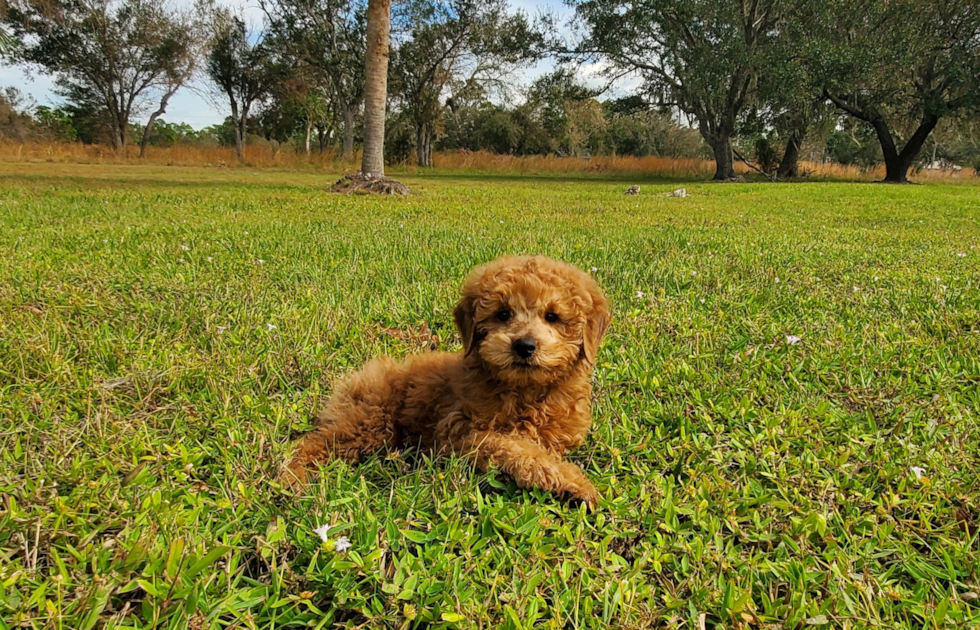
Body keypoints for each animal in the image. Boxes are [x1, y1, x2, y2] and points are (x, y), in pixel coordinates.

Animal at [280, 256, 608, 508]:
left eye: (552, 317)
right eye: (502, 314)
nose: (524, 346)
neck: (524, 390)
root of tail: (359, 376)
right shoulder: (458, 432)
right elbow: (516, 447)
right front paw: (575, 483)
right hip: (369, 421)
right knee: (313, 443)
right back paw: (291, 479)